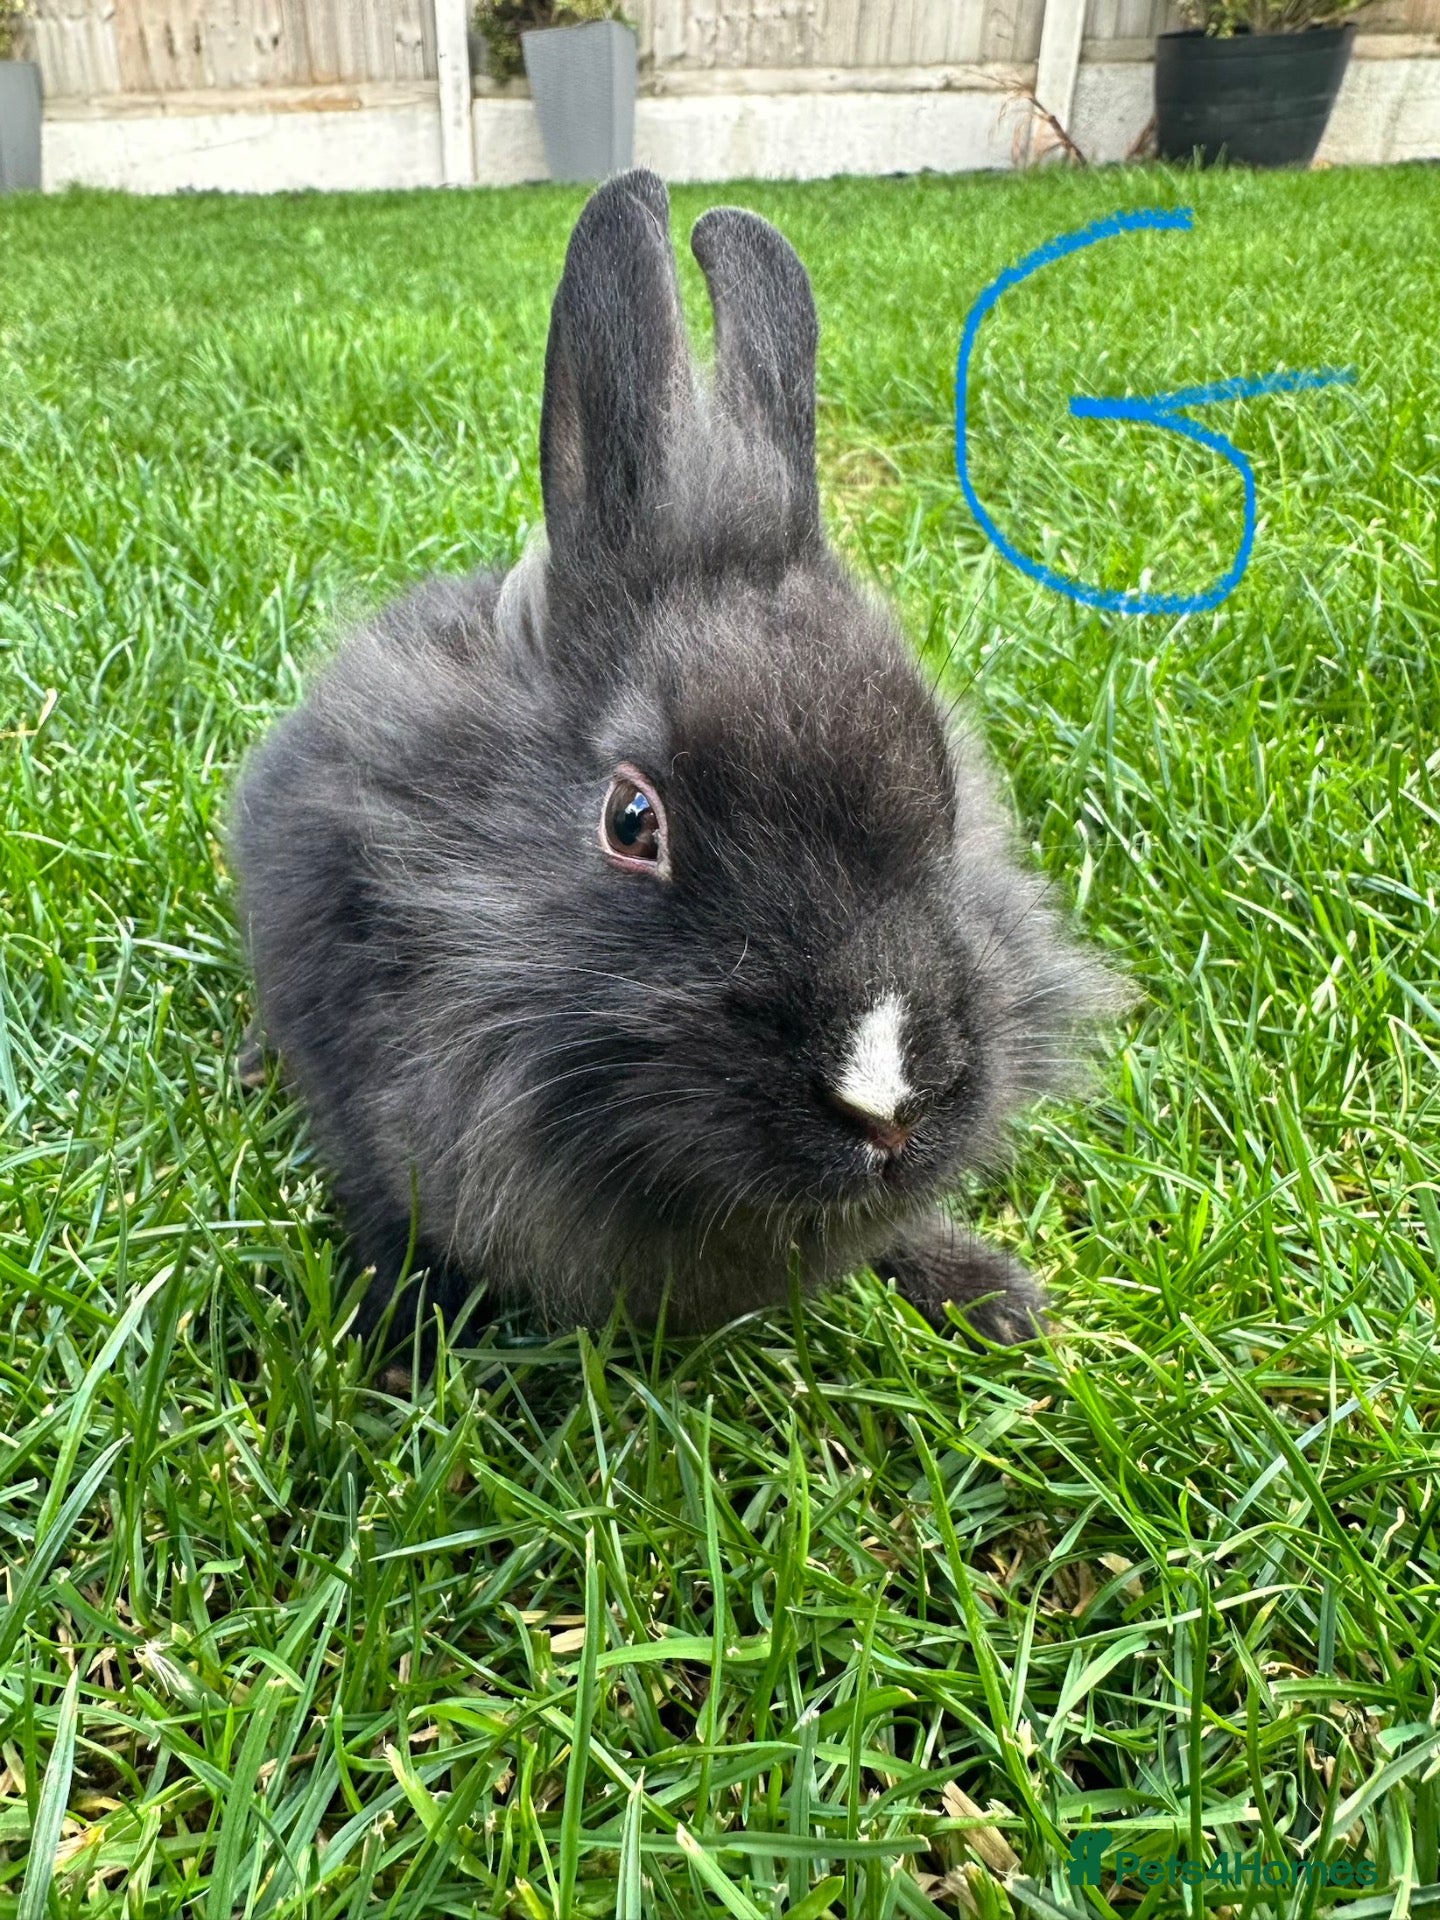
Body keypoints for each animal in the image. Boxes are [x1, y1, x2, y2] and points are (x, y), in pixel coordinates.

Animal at [229, 168, 1119, 1355]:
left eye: (945, 789)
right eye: (632, 822)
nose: (884, 1105)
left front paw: (991, 1297)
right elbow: (391, 1231)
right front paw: (393, 1363)